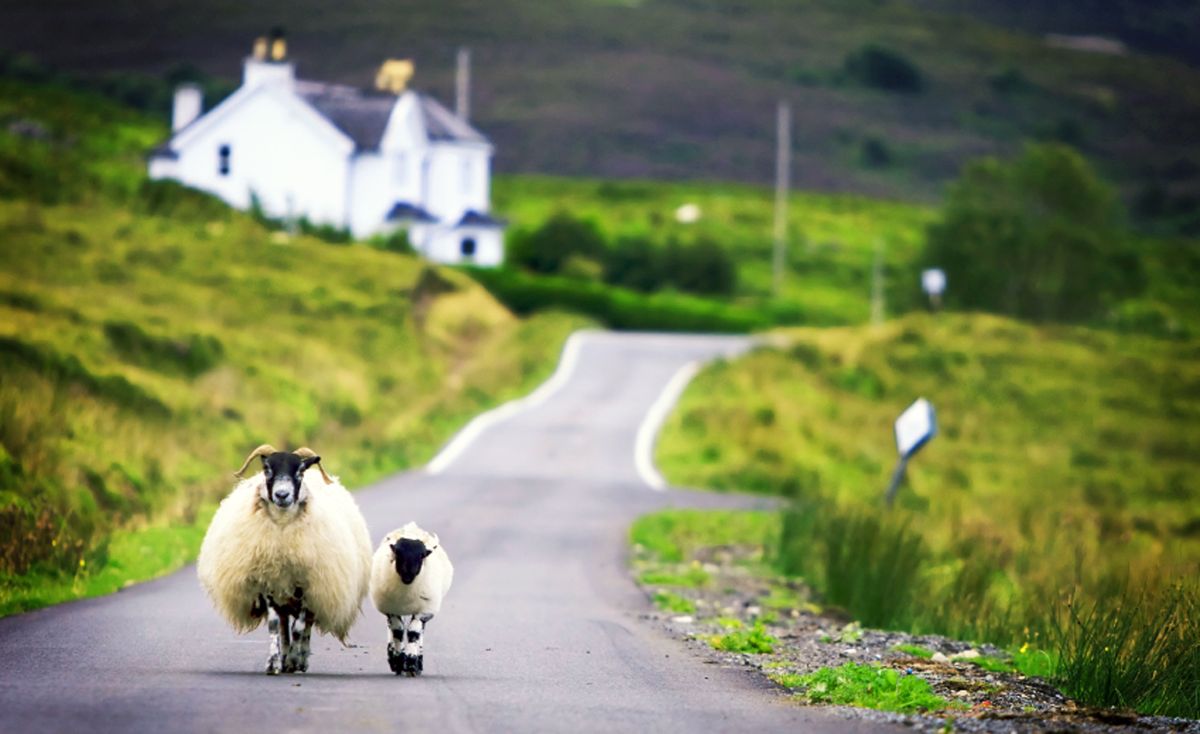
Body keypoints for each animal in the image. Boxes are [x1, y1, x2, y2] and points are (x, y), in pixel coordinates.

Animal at [196, 443, 369, 671]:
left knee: (305, 626)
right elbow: (275, 625)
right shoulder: (268, 581)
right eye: (267, 469)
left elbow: (300, 627)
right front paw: (274, 662)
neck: (282, 532)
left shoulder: (307, 584)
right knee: (285, 624)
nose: (281, 495)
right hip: (284, 593)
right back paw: (286, 656)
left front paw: (295, 659)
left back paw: (300, 659)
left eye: (300, 471)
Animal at [367, 522, 451, 676]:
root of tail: (411, 527)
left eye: (422, 555)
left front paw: (412, 663)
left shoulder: (423, 611)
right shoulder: (392, 610)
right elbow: (398, 631)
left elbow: (414, 632)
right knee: (392, 628)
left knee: (419, 631)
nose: (408, 574)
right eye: (398, 553)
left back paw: (418, 662)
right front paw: (398, 662)